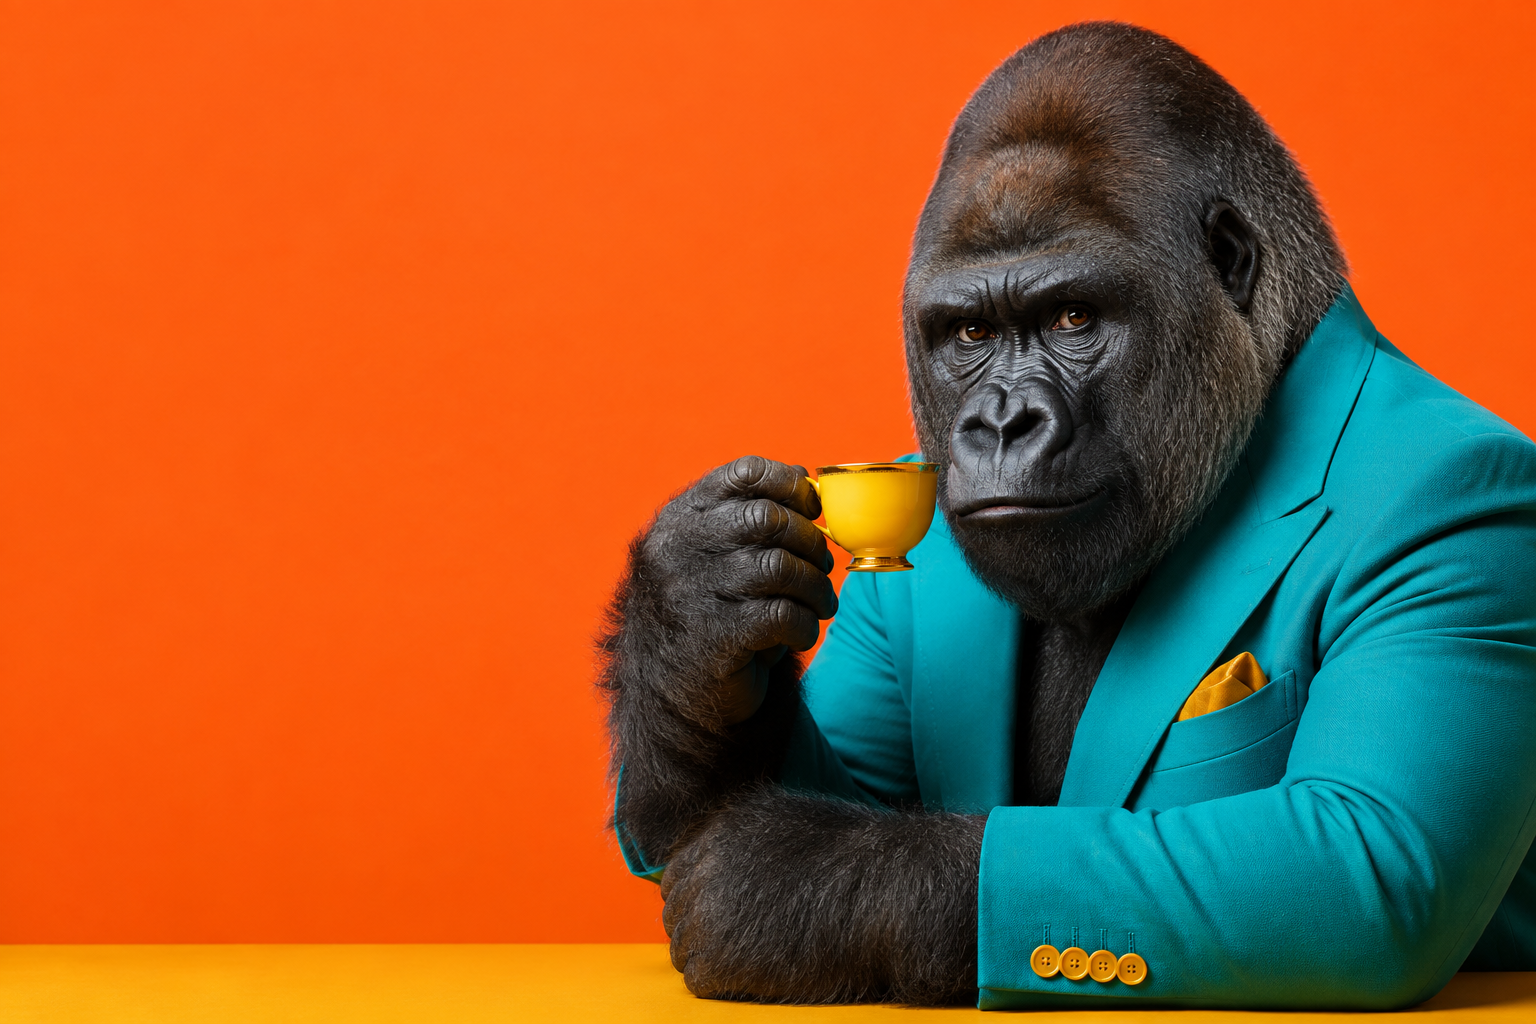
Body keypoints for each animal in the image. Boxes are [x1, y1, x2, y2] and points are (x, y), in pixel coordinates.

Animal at [597, 20, 1536, 1009]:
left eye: (1073, 317)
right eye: (970, 334)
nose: (1002, 422)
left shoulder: (1449, 526)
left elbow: (1358, 855)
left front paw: (786, 878)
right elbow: (837, 772)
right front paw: (692, 619)